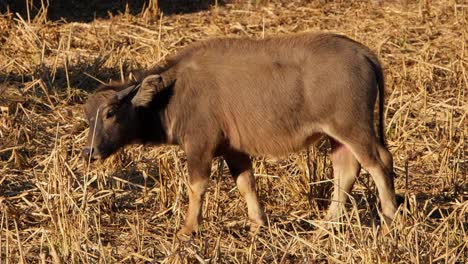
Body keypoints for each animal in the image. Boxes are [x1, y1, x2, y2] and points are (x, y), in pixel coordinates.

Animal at [82, 32, 396, 238]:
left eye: (110, 113)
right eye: (88, 117)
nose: (90, 152)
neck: (172, 93)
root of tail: (362, 53)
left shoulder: (199, 146)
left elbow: (197, 187)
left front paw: (188, 229)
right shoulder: (233, 150)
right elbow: (247, 184)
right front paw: (257, 223)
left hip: (353, 127)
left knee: (379, 162)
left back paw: (390, 217)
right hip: (338, 136)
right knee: (346, 170)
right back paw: (328, 224)